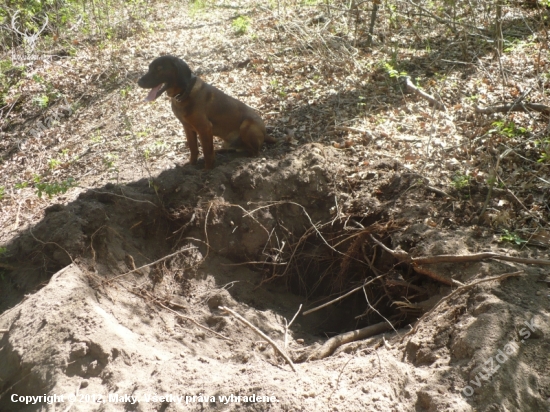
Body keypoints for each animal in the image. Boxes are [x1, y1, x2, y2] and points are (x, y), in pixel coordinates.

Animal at [139, 56, 274, 169]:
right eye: (149, 68)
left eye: (159, 69)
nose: (138, 82)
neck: (184, 93)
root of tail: (265, 133)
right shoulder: (188, 128)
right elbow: (193, 148)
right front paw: (191, 165)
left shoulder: (204, 128)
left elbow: (207, 152)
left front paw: (207, 169)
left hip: (246, 125)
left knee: (254, 152)